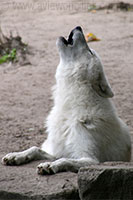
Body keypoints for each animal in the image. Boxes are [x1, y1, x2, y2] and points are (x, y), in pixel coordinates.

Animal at [1, 27, 131, 175]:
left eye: (90, 51)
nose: (78, 27)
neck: (70, 107)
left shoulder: (91, 160)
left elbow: (65, 160)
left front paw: (49, 165)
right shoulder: (56, 151)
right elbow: (35, 148)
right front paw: (16, 156)